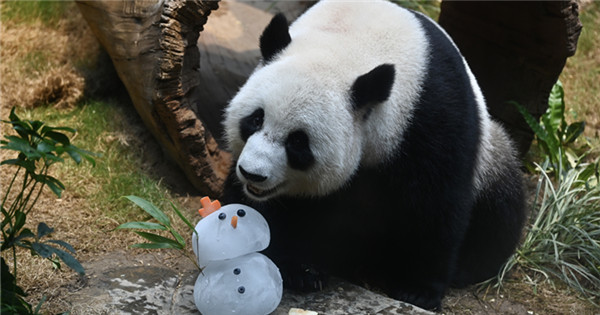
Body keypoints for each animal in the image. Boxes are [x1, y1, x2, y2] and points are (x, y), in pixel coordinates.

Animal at [220, 0, 524, 312]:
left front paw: (418, 291)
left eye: (298, 142)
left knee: (500, 207)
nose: (253, 174)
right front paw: (297, 270)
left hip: (491, 156)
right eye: (256, 119)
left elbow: (436, 204)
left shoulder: (431, 115)